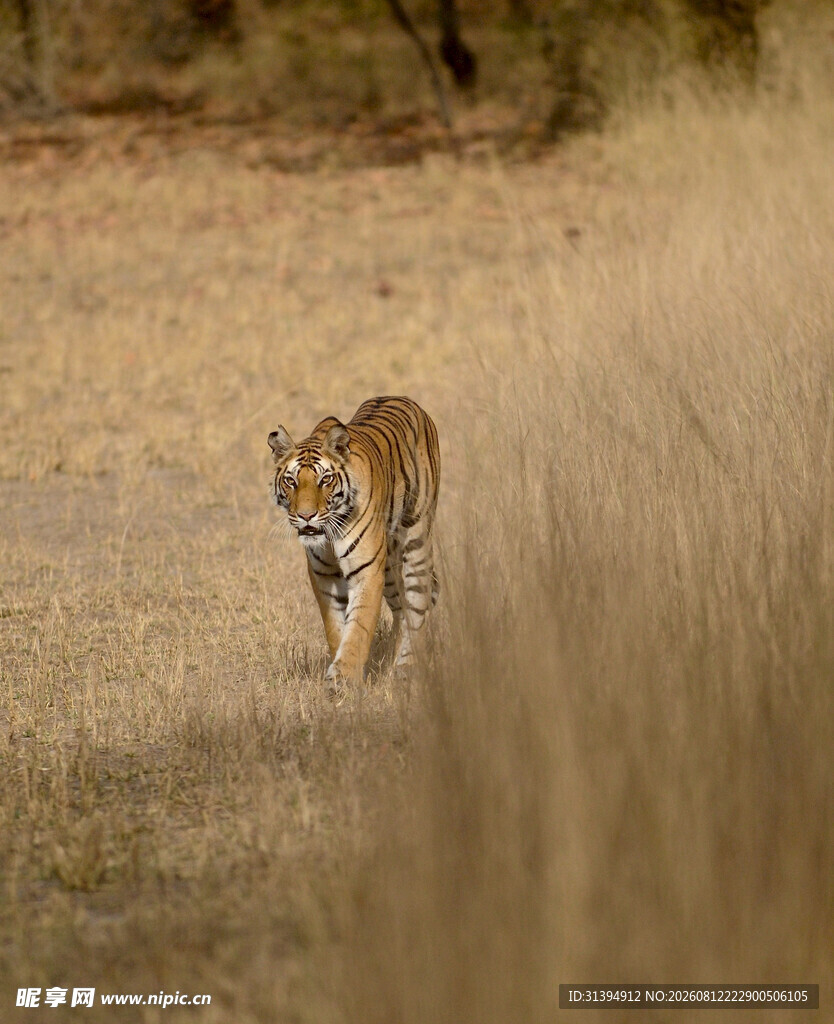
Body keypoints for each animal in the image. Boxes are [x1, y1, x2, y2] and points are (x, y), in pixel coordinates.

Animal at [268, 395, 440, 688]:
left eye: (325, 479)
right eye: (291, 481)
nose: (306, 516)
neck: (328, 535)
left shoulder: (367, 571)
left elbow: (359, 626)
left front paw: (344, 679)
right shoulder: (324, 574)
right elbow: (335, 627)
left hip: (416, 540)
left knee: (418, 605)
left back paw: (408, 667)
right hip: (390, 566)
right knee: (402, 608)